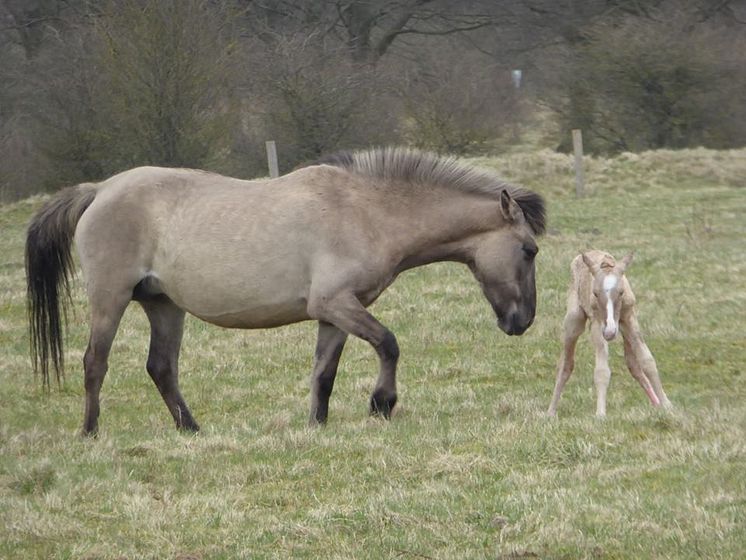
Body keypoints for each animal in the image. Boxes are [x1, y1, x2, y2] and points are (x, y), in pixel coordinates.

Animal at [26, 147, 544, 436]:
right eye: (529, 249)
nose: (522, 322)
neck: (367, 210)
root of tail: (99, 190)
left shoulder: (335, 313)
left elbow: (324, 373)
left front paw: (317, 425)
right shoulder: (336, 303)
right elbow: (389, 344)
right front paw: (381, 404)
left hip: (164, 305)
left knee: (161, 368)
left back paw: (191, 430)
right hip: (110, 299)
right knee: (95, 362)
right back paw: (90, 433)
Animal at [544, 249, 672, 416]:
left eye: (621, 292)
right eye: (595, 293)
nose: (610, 332)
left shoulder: (630, 319)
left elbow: (647, 361)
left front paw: (667, 406)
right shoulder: (598, 325)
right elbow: (602, 370)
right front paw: (600, 414)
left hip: (623, 330)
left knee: (632, 364)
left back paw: (656, 403)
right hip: (574, 320)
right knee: (565, 364)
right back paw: (550, 412)